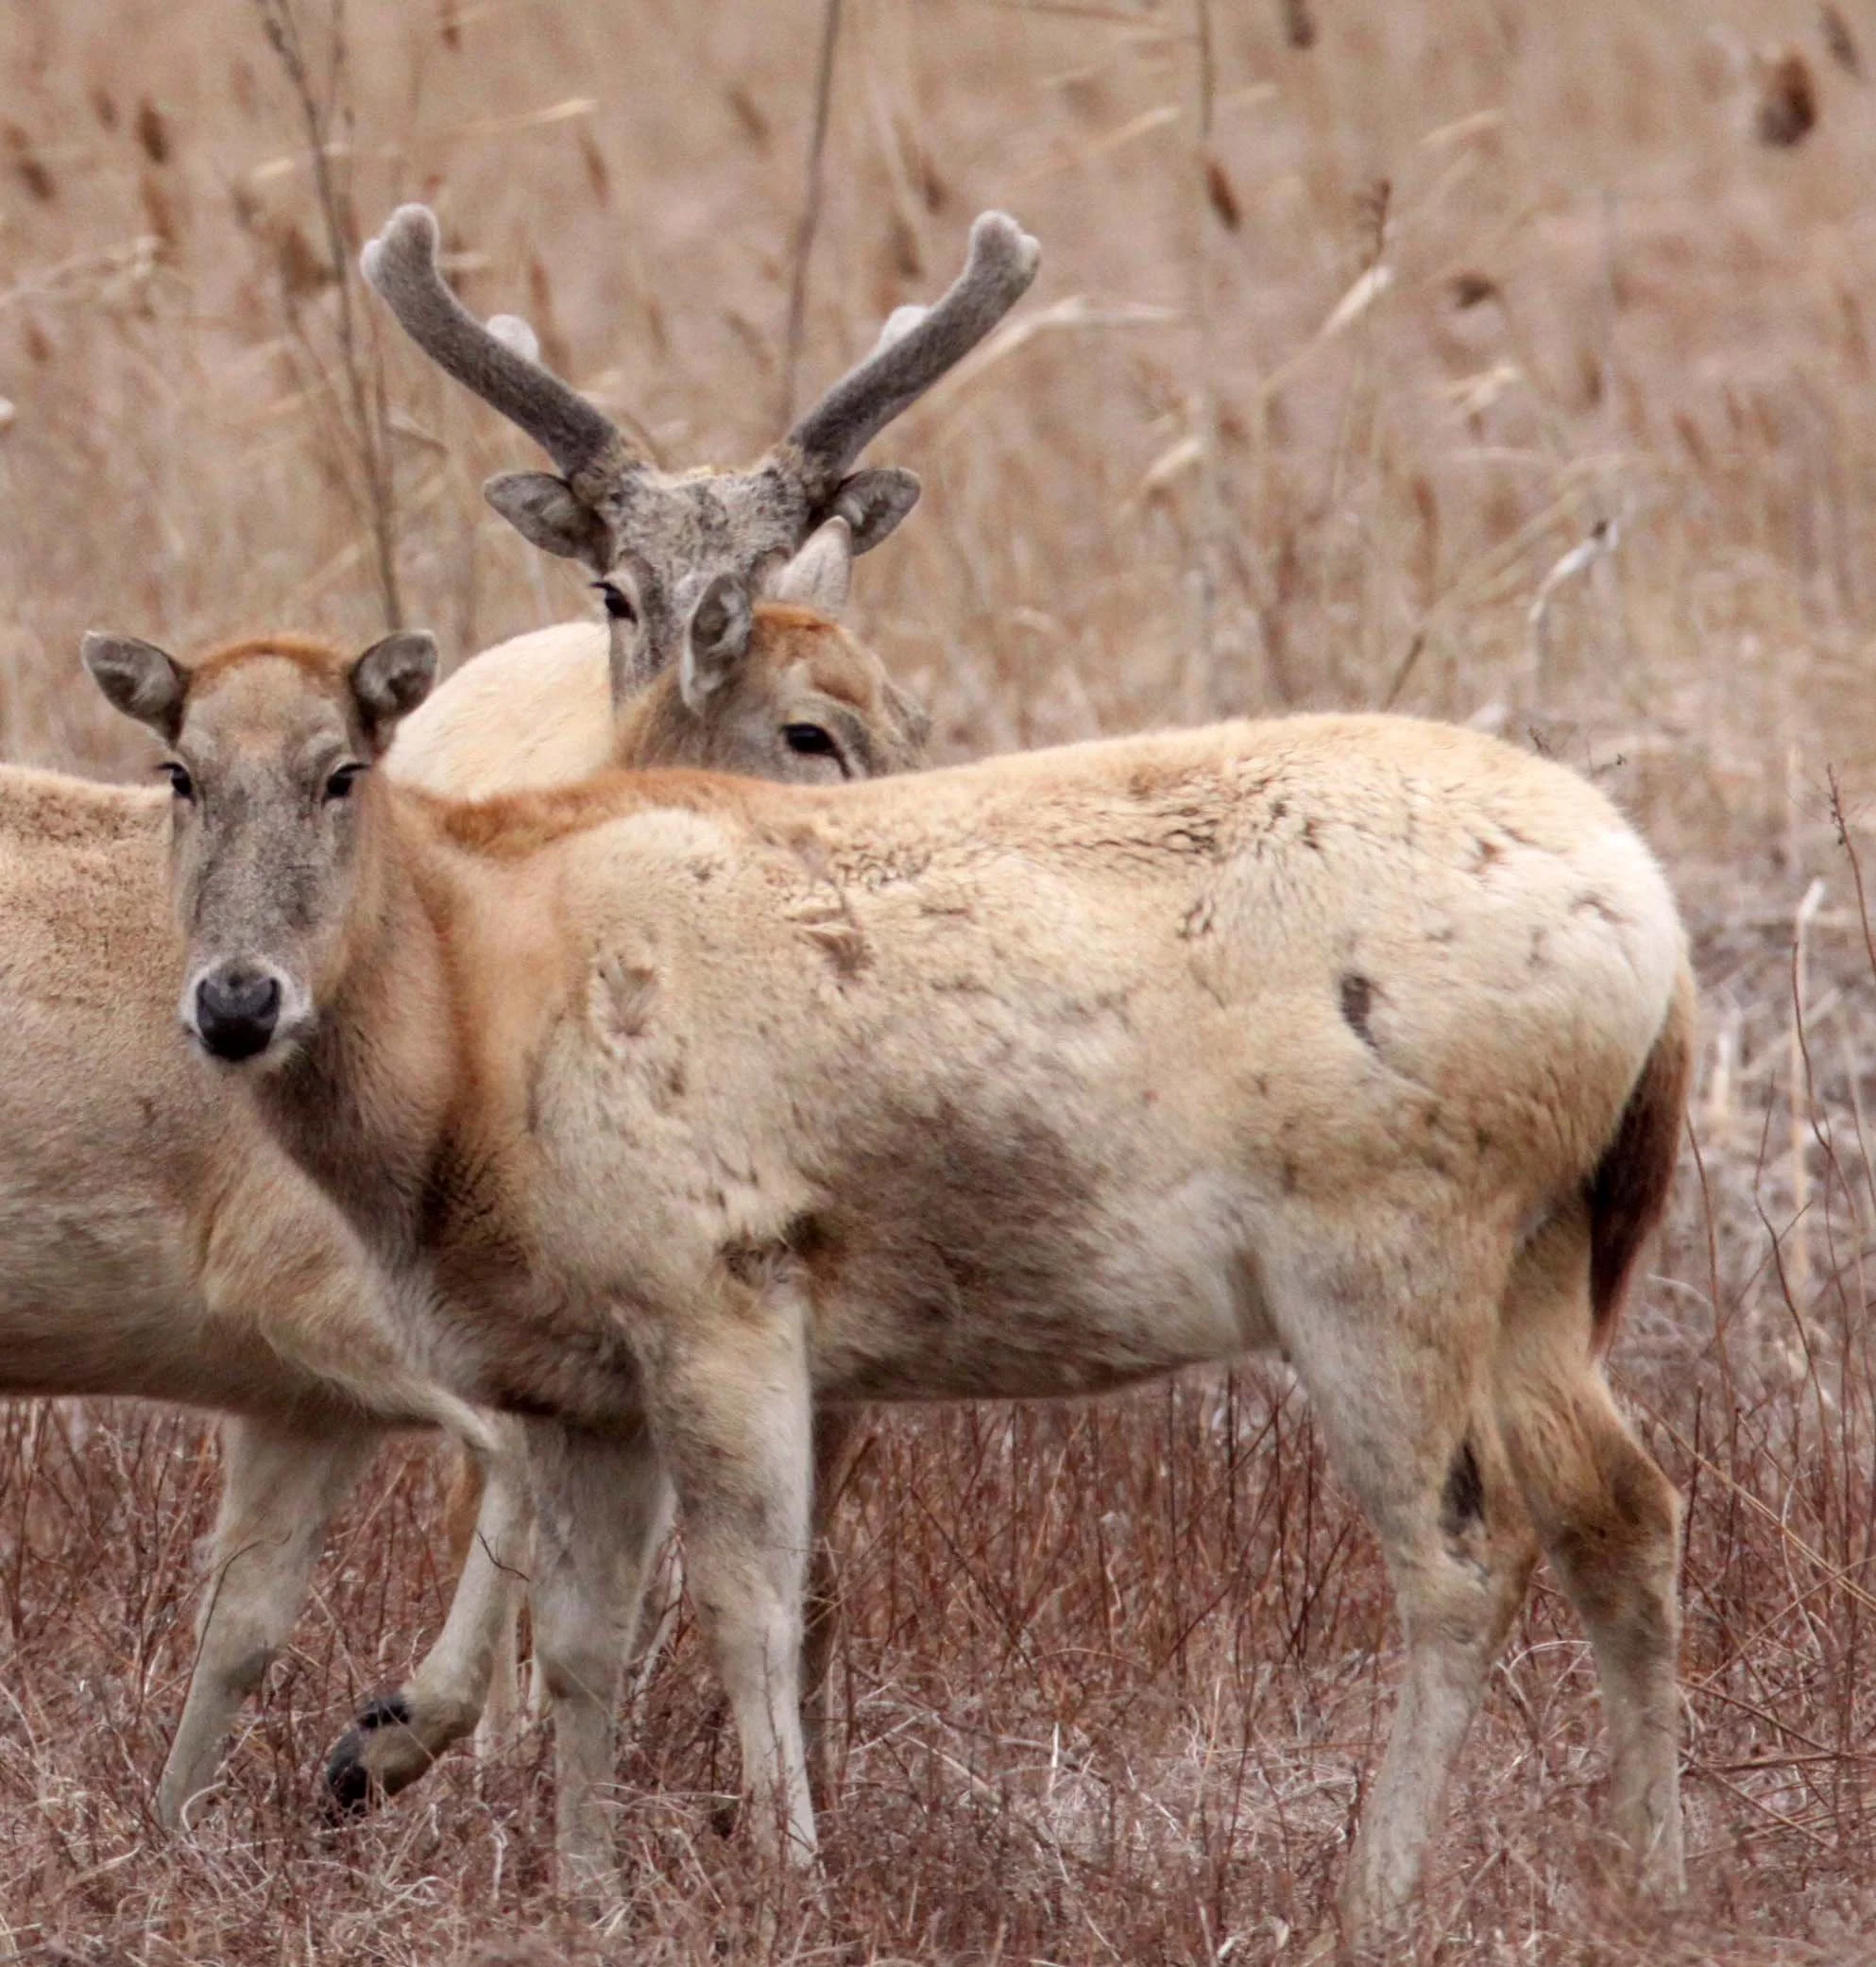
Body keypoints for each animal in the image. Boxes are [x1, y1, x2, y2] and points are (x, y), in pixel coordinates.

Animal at [86, 611, 1695, 1940]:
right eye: (178, 772)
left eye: (343, 770)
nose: (237, 1000)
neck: (472, 1047)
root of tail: (1657, 938)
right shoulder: (585, 1379)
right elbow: (584, 1641)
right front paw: (588, 1892)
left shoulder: (719, 1283)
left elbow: (748, 1602)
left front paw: (786, 1876)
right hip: (1544, 1258)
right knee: (1620, 1506)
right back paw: (1643, 1872)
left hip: (1386, 1249)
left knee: (1461, 1558)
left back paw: (1370, 1897)